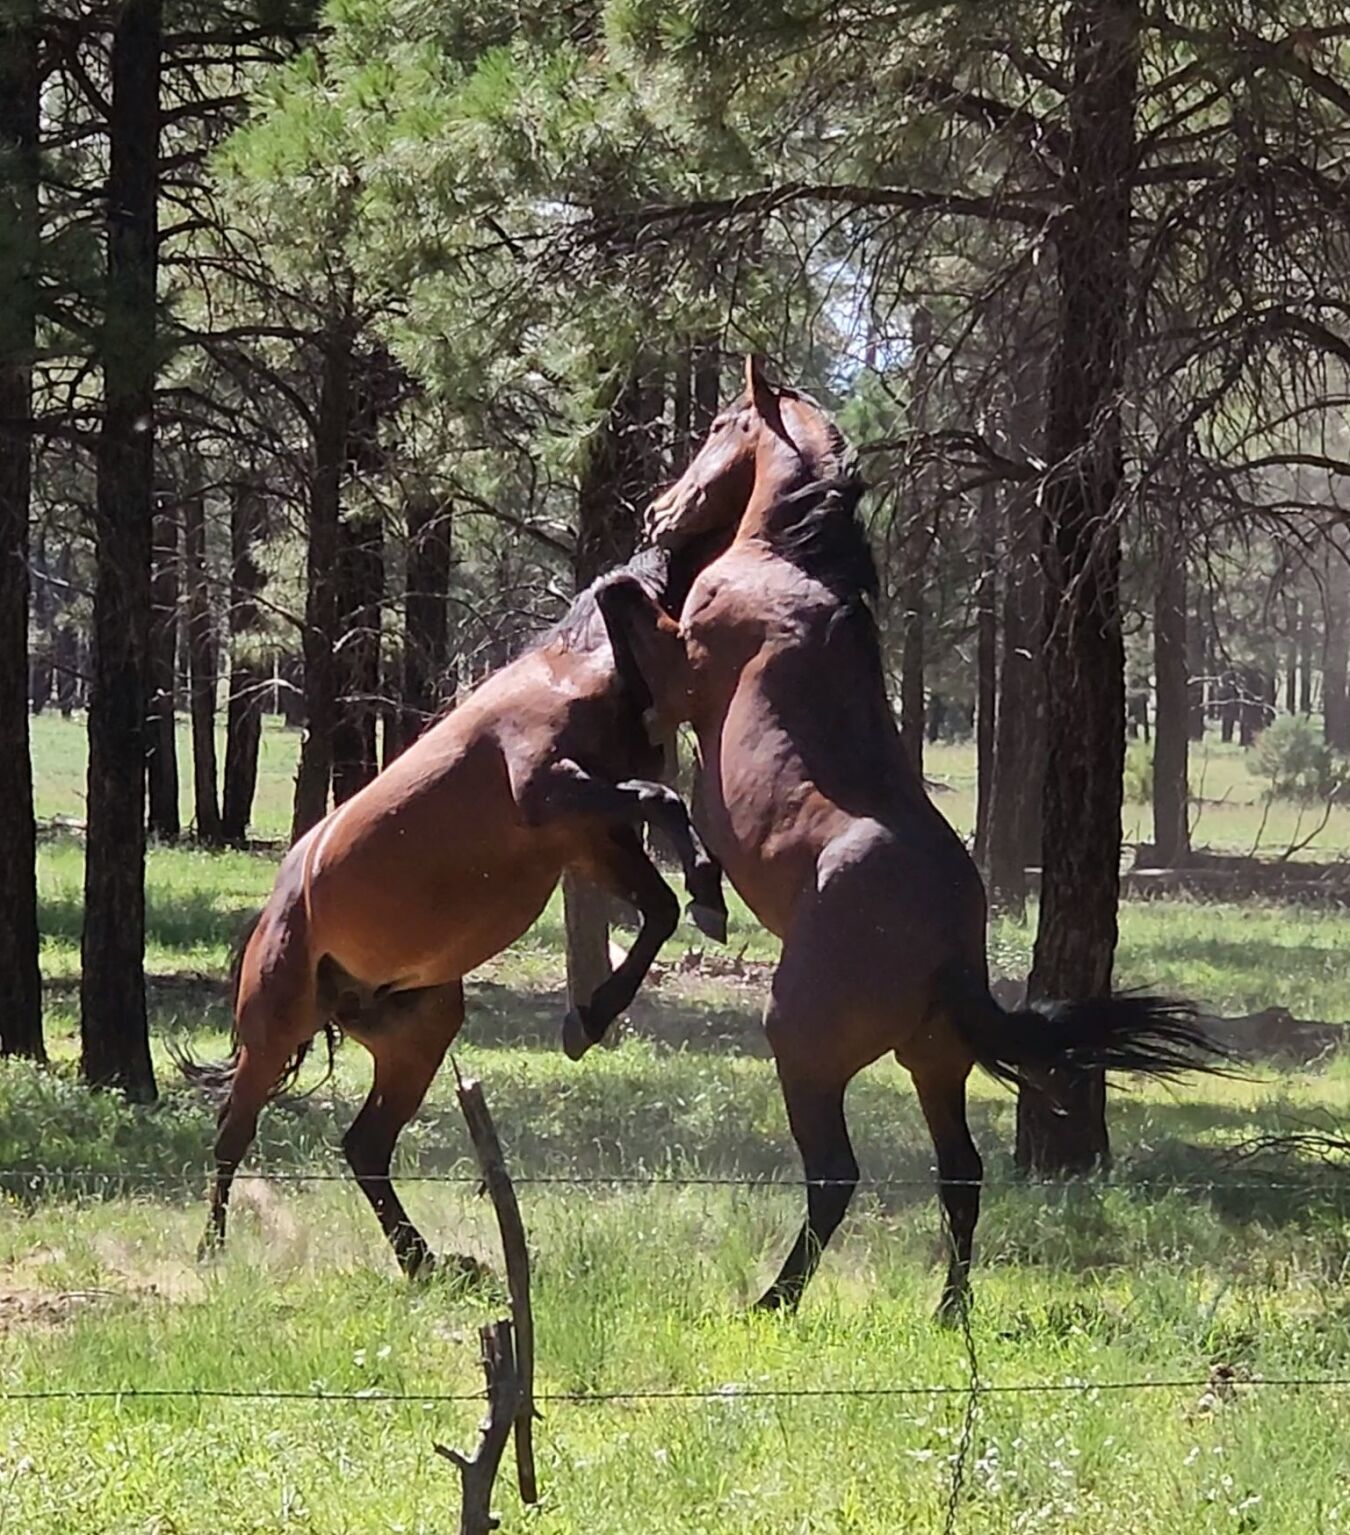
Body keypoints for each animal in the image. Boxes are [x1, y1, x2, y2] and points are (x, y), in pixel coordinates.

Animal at [184, 548, 726, 1279]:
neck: (571, 673)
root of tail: (271, 914)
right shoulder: (555, 796)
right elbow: (661, 800)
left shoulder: (591, 839)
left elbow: (662, 903)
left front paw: (596, 1010)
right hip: (274, 1032)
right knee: (232, 1132)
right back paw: (212, 1247)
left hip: (418, 1035)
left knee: (364, 1146)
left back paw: (425, 1263)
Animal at [593, 358, 1230, 1317]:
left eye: (718, 424)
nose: (658, 513)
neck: (791, 566)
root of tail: (950, 951)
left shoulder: (680, 669)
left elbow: (615, 599)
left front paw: (702, 890)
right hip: (937, 1064)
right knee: (960, 1173)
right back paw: (949, 1310)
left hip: (804, 1044)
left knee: (835, 1174)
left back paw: (777, 1300)